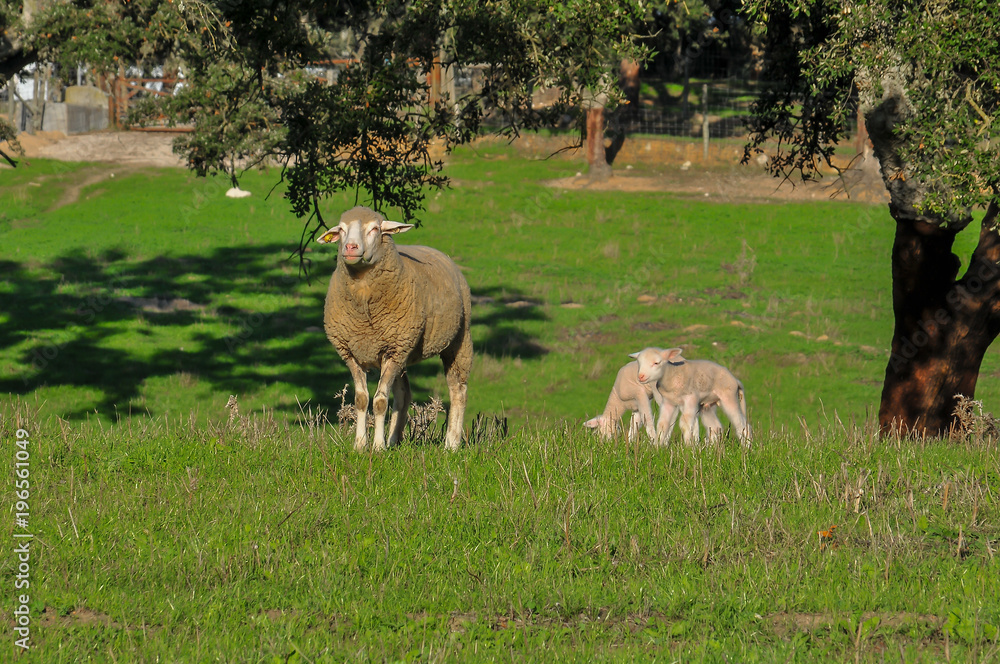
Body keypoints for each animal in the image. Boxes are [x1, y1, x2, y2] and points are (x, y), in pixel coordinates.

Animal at [320, 206, 476, 452]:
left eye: (375, 228)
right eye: (342, 229)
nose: (350, 247)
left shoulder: (394, 349)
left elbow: (380, 401)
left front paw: (377, 447)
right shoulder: (352, 352)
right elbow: (362, 400)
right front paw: (360, 445)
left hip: (458, 340)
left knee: (458, 389)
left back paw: (451, 444)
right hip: (402, 351)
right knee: (404, 394)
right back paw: (394, 439)